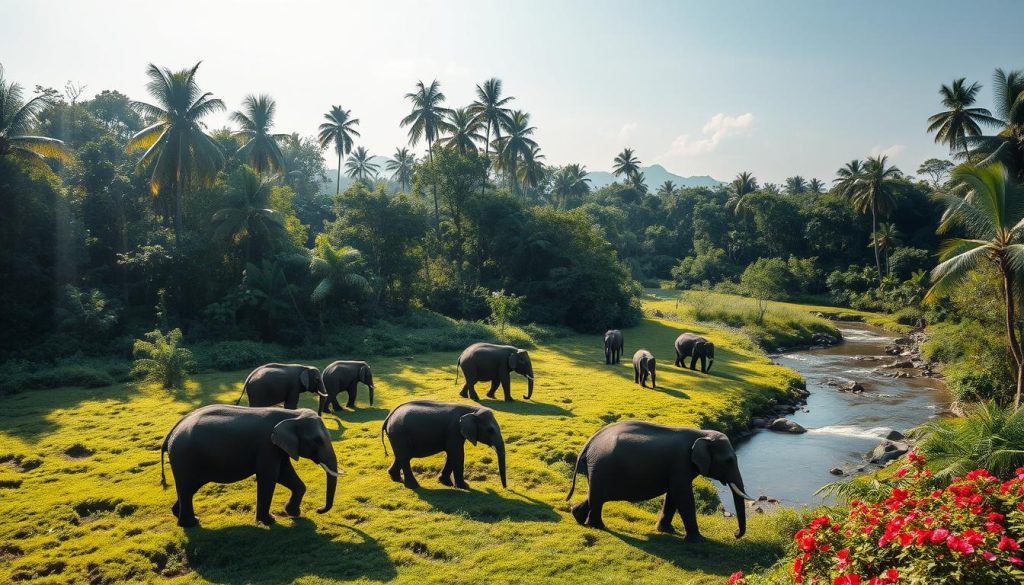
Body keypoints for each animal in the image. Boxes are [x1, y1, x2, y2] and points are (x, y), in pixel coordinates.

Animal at [160, 405, 340, 527]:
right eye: (317, 440)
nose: (319, 510)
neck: (292, 415)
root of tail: (171, 433)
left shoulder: (279, 447)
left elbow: (284, 474)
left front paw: (293, 513)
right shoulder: (266, 446)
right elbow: (270, 476)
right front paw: (269, 521)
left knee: (189, 488)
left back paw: (179, 515)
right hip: (184, 457)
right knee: (186, 487)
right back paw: (191, 523)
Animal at [566, 421, 754, 542]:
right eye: (729, 460)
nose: (735, 534)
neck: (702, 434)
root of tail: (589, 442)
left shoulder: (677, 468)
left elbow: (673, 495)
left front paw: (667, 531)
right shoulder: (680, 463)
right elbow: (682, 494)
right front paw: (699, 540)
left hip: (598, 469)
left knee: (595, 495)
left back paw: (577, 516)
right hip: (601, 467)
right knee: (598, 496)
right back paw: (598, 527)